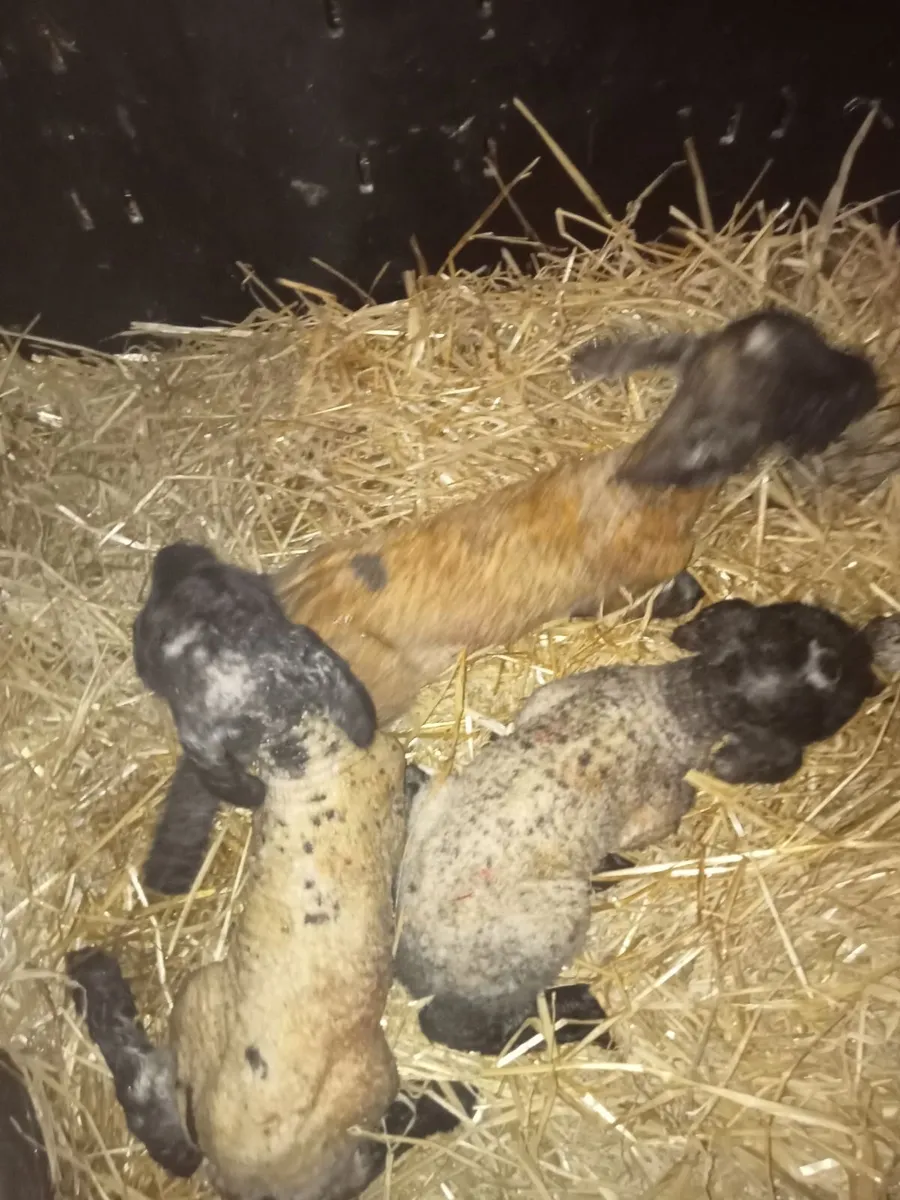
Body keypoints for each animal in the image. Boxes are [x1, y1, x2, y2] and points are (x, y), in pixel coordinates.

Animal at [393, 597, 884, 1055]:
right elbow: (650, 827)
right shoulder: (662, 803)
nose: (871, 667)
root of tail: (417, 969)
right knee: (471, 1029)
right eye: (837, 698)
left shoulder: (566, 690)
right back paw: (579, 1015)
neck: (680, 701)